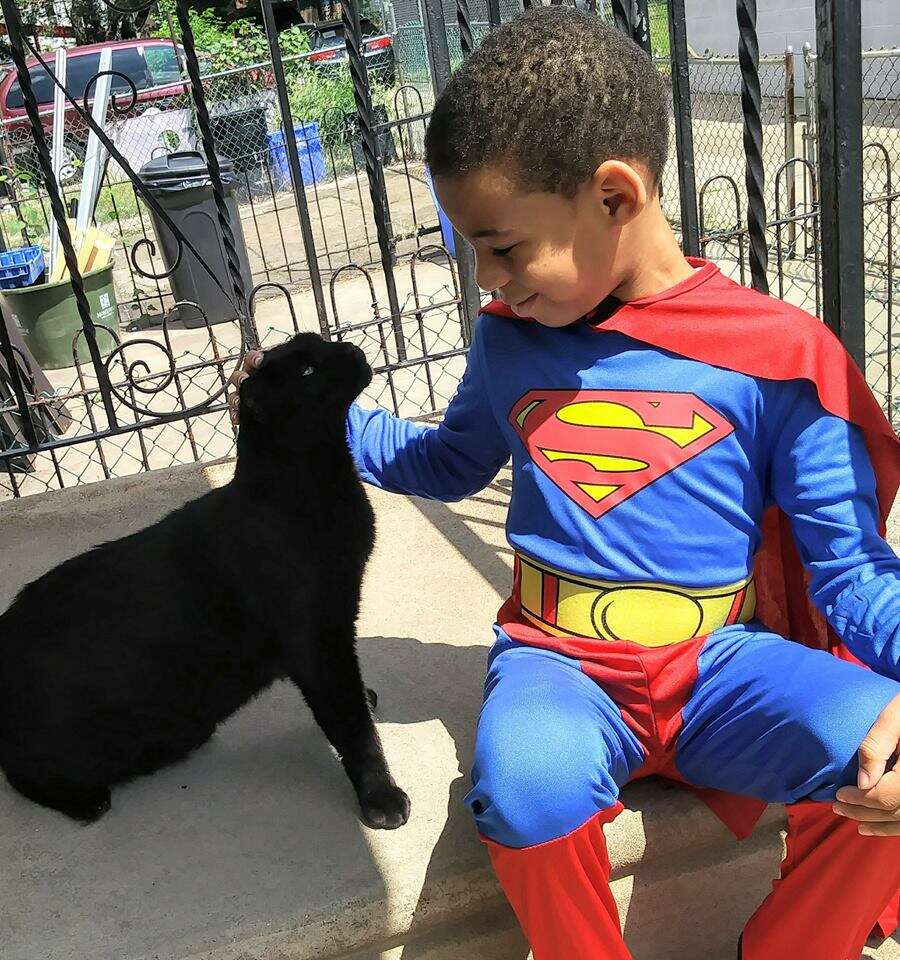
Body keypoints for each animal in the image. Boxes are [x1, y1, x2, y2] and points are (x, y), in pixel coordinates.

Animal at [0, 334, 410, 828]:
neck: (314, 484)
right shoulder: (314, 640)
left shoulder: (337, 620)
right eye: (308, 371)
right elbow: (350, 723)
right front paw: (381, 796)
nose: (350, 349)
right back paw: (86, 800)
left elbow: (350, 696)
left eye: (322, 342)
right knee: (19, 770)